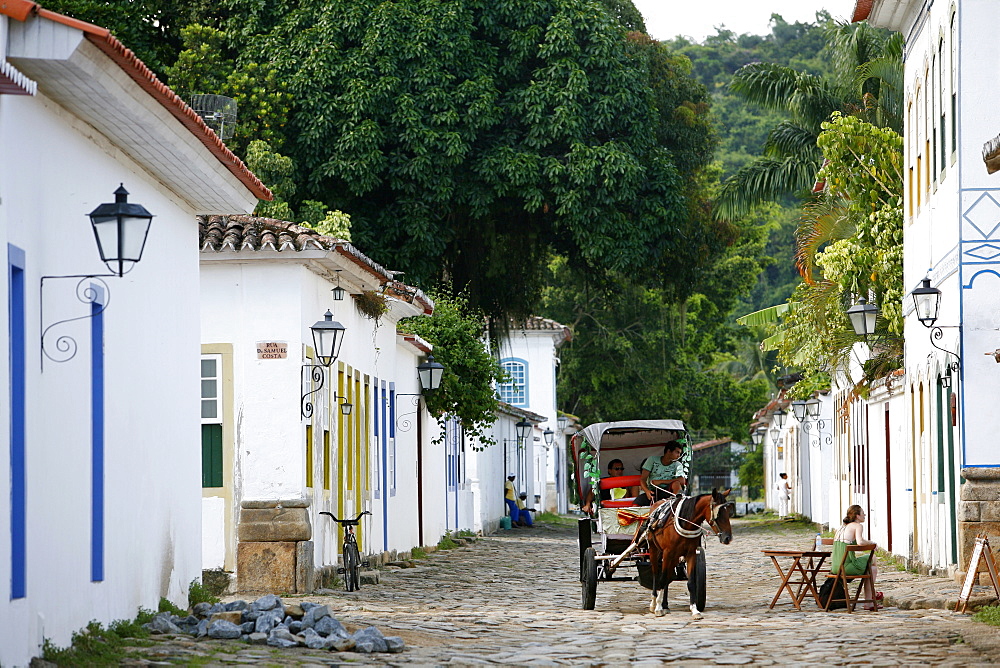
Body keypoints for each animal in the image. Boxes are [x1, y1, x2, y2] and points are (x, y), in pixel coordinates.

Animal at [644, 488, 732, 620]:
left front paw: (695, 610)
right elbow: (662, 578)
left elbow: (691, 583)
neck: (686, 522)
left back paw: (665, 605)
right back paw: (654, 603)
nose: (728, 538)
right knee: (656, 574)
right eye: (719, 513)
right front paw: (658, 608)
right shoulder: (667, 553)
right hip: (655, 550)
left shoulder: (691, 554)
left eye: (728, 512)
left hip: (674, 556)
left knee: (668, 577)